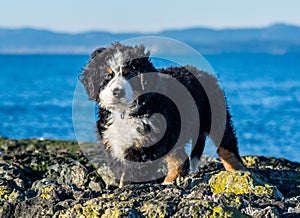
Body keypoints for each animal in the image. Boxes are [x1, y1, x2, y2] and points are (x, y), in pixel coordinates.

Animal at [81, 43, 245, 187]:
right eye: (107, 76)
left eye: (130, 75)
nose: (117, 91)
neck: (126, 112)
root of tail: (203, 73)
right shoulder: (112, 142)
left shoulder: (147, 145)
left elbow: (131, 173)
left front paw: (124, 189)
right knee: (180, 158)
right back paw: (169, 181)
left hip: (216, 116)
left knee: (227, 145)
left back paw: (237, 172)